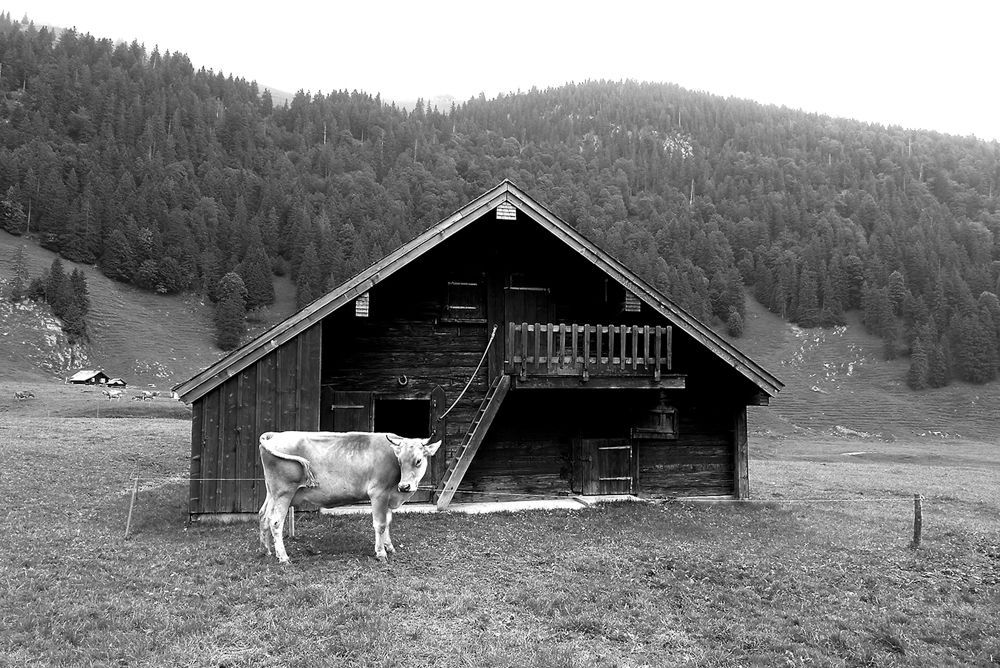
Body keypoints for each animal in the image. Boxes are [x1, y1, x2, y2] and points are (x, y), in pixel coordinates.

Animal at [257, 431, 441, 564]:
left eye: (418, 460)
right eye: (400, 461)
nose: (404, 486)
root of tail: (275, 435)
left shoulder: (389, 497)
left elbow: (388, 522)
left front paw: (389, 547)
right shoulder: (379, 493)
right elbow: (380, 524)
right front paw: (381, 553)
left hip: (272, 493)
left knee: (263, 516)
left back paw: (266, 550)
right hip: (284, 492)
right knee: (275, 522)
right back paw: (283, 557)